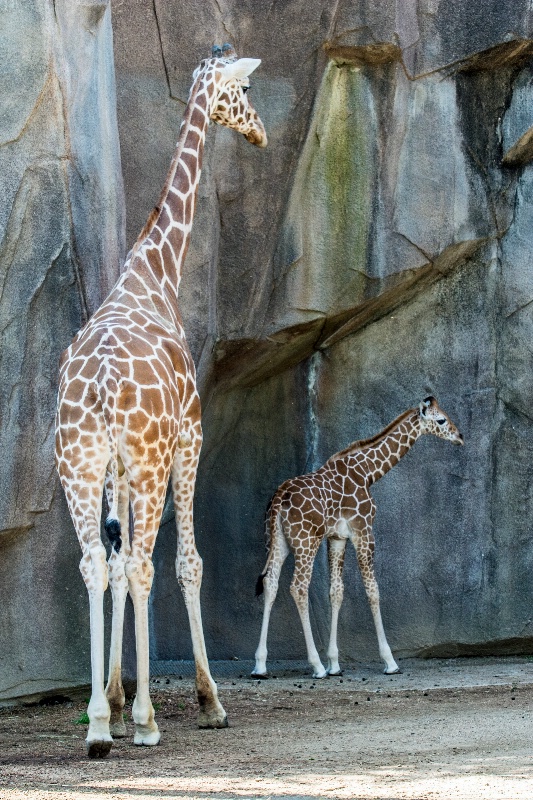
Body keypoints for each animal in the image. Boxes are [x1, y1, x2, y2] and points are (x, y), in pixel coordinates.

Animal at [55, 42, 266, 756]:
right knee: (146, 563)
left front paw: (116, 702)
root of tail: (97, 385)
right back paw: (147, 719)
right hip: (148, 463)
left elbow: (116, 567)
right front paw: (206, 702)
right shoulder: (188, 438)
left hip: (77, 464)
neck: (157, 267)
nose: (260, 131)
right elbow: (188, 563)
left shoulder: (113, 470)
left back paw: (99, 723)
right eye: (243, 91)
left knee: (97, 562)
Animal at [251, 396, 464, 680]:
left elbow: (336, 591)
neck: (367, 471)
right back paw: (315, 666)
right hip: (306, 541)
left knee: (271, 582)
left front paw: (334, 663)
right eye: (441, 420)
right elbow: (373, 590)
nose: (460, 437)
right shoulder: (363, 529)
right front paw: (389, 661)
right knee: (298, 587)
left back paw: (260, 665)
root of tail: (278, 500)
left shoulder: (337, 537)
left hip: (279, 542)